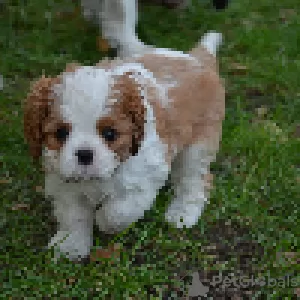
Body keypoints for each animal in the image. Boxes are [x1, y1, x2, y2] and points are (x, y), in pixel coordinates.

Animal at [24, 31, 225, 258]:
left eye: (110, 133)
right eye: (60, 133)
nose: (84, 154)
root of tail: (195, 58)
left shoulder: (144, 180)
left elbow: (118, 211)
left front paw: (103, 221)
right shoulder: (64, 184)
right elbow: (73, 216)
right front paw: (71, 245)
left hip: (197, 146)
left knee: (195, 180)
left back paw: (183, 212)